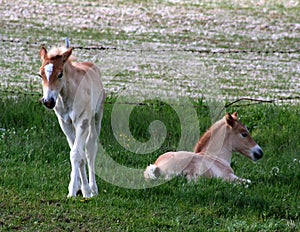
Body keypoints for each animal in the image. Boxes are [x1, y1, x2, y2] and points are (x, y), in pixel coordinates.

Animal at [38, 43, 105, 198]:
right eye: (40, 74)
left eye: (60, 74)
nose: (48, 101)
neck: (66, 95)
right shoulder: (65, 124)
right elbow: (76, 153)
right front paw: (81, 189)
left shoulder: (82, 121)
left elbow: (76, 154)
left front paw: (74, 192)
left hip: (96, 117)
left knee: (90, 149)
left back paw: (94, 189)